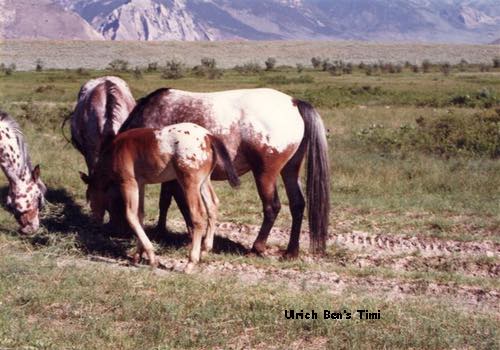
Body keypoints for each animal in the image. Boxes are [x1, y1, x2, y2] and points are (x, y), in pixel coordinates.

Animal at [85, 123, 241, 270]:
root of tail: (208, 136)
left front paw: (152, 257)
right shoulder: (140, 184)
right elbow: (140, 215)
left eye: (90, 198)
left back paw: (190, 263)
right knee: (213, 206)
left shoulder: (128, 182)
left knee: (198, 215)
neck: (115, 150)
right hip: (203, 181)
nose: (95, 220)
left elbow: (131, 215)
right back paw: (205, 250)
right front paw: (138, 255)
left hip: (189, 183)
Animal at [120, 87, 332, 258]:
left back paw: (257, 247)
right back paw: (291, 252)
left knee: (272, 207)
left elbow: (174, 203)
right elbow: (170, 202)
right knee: (297, 204)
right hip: (290, 170)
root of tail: (294, 102)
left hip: (265, 173)